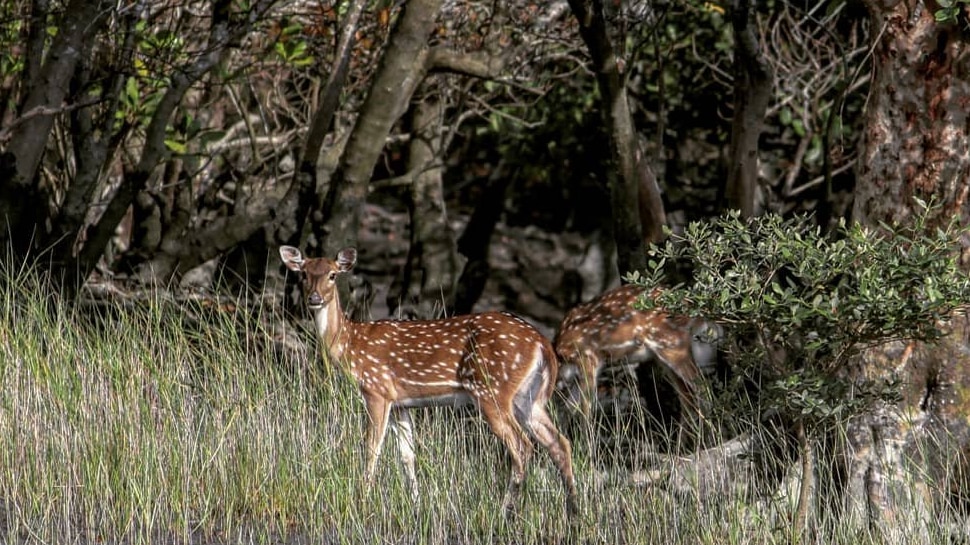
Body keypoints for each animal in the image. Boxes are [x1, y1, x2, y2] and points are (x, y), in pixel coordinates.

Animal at [278, 244, 576, 512]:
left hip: (492, 390)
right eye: (303, 274)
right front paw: (417, 507)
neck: (350, 344)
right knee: (560, 443)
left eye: (332, 274)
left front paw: (362, 501)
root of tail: (542, 343)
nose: (314, 298)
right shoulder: (400, 402)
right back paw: (573, 511)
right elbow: (407, 456)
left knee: (522, 445)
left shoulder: (376, 389)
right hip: (529, 398)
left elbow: (372, 447)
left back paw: (506, 511)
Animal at [552, 284, 720, 420]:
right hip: (667, 356)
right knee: (688, 399)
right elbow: (567, 410)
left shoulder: (588, 357)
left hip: (673, 344)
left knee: (703, 391)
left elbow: (584, 411)